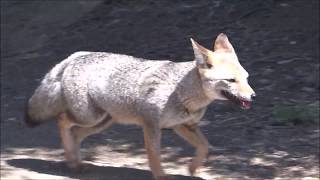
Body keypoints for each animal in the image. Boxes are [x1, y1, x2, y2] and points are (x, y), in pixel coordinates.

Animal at [25, 33, 255, 179]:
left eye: (246, 78)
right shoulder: (151, 125)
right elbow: (154, 156)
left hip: (102, 122)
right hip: (90, 117)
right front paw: (162, 177)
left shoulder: (182, 126)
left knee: (75, 133)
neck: (181, 91)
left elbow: (205, 146)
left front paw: (192, 167)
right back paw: (72, 161)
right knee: (62, 120)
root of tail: (76, 56)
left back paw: (75, 163)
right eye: (231, 81)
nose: (253, 96)